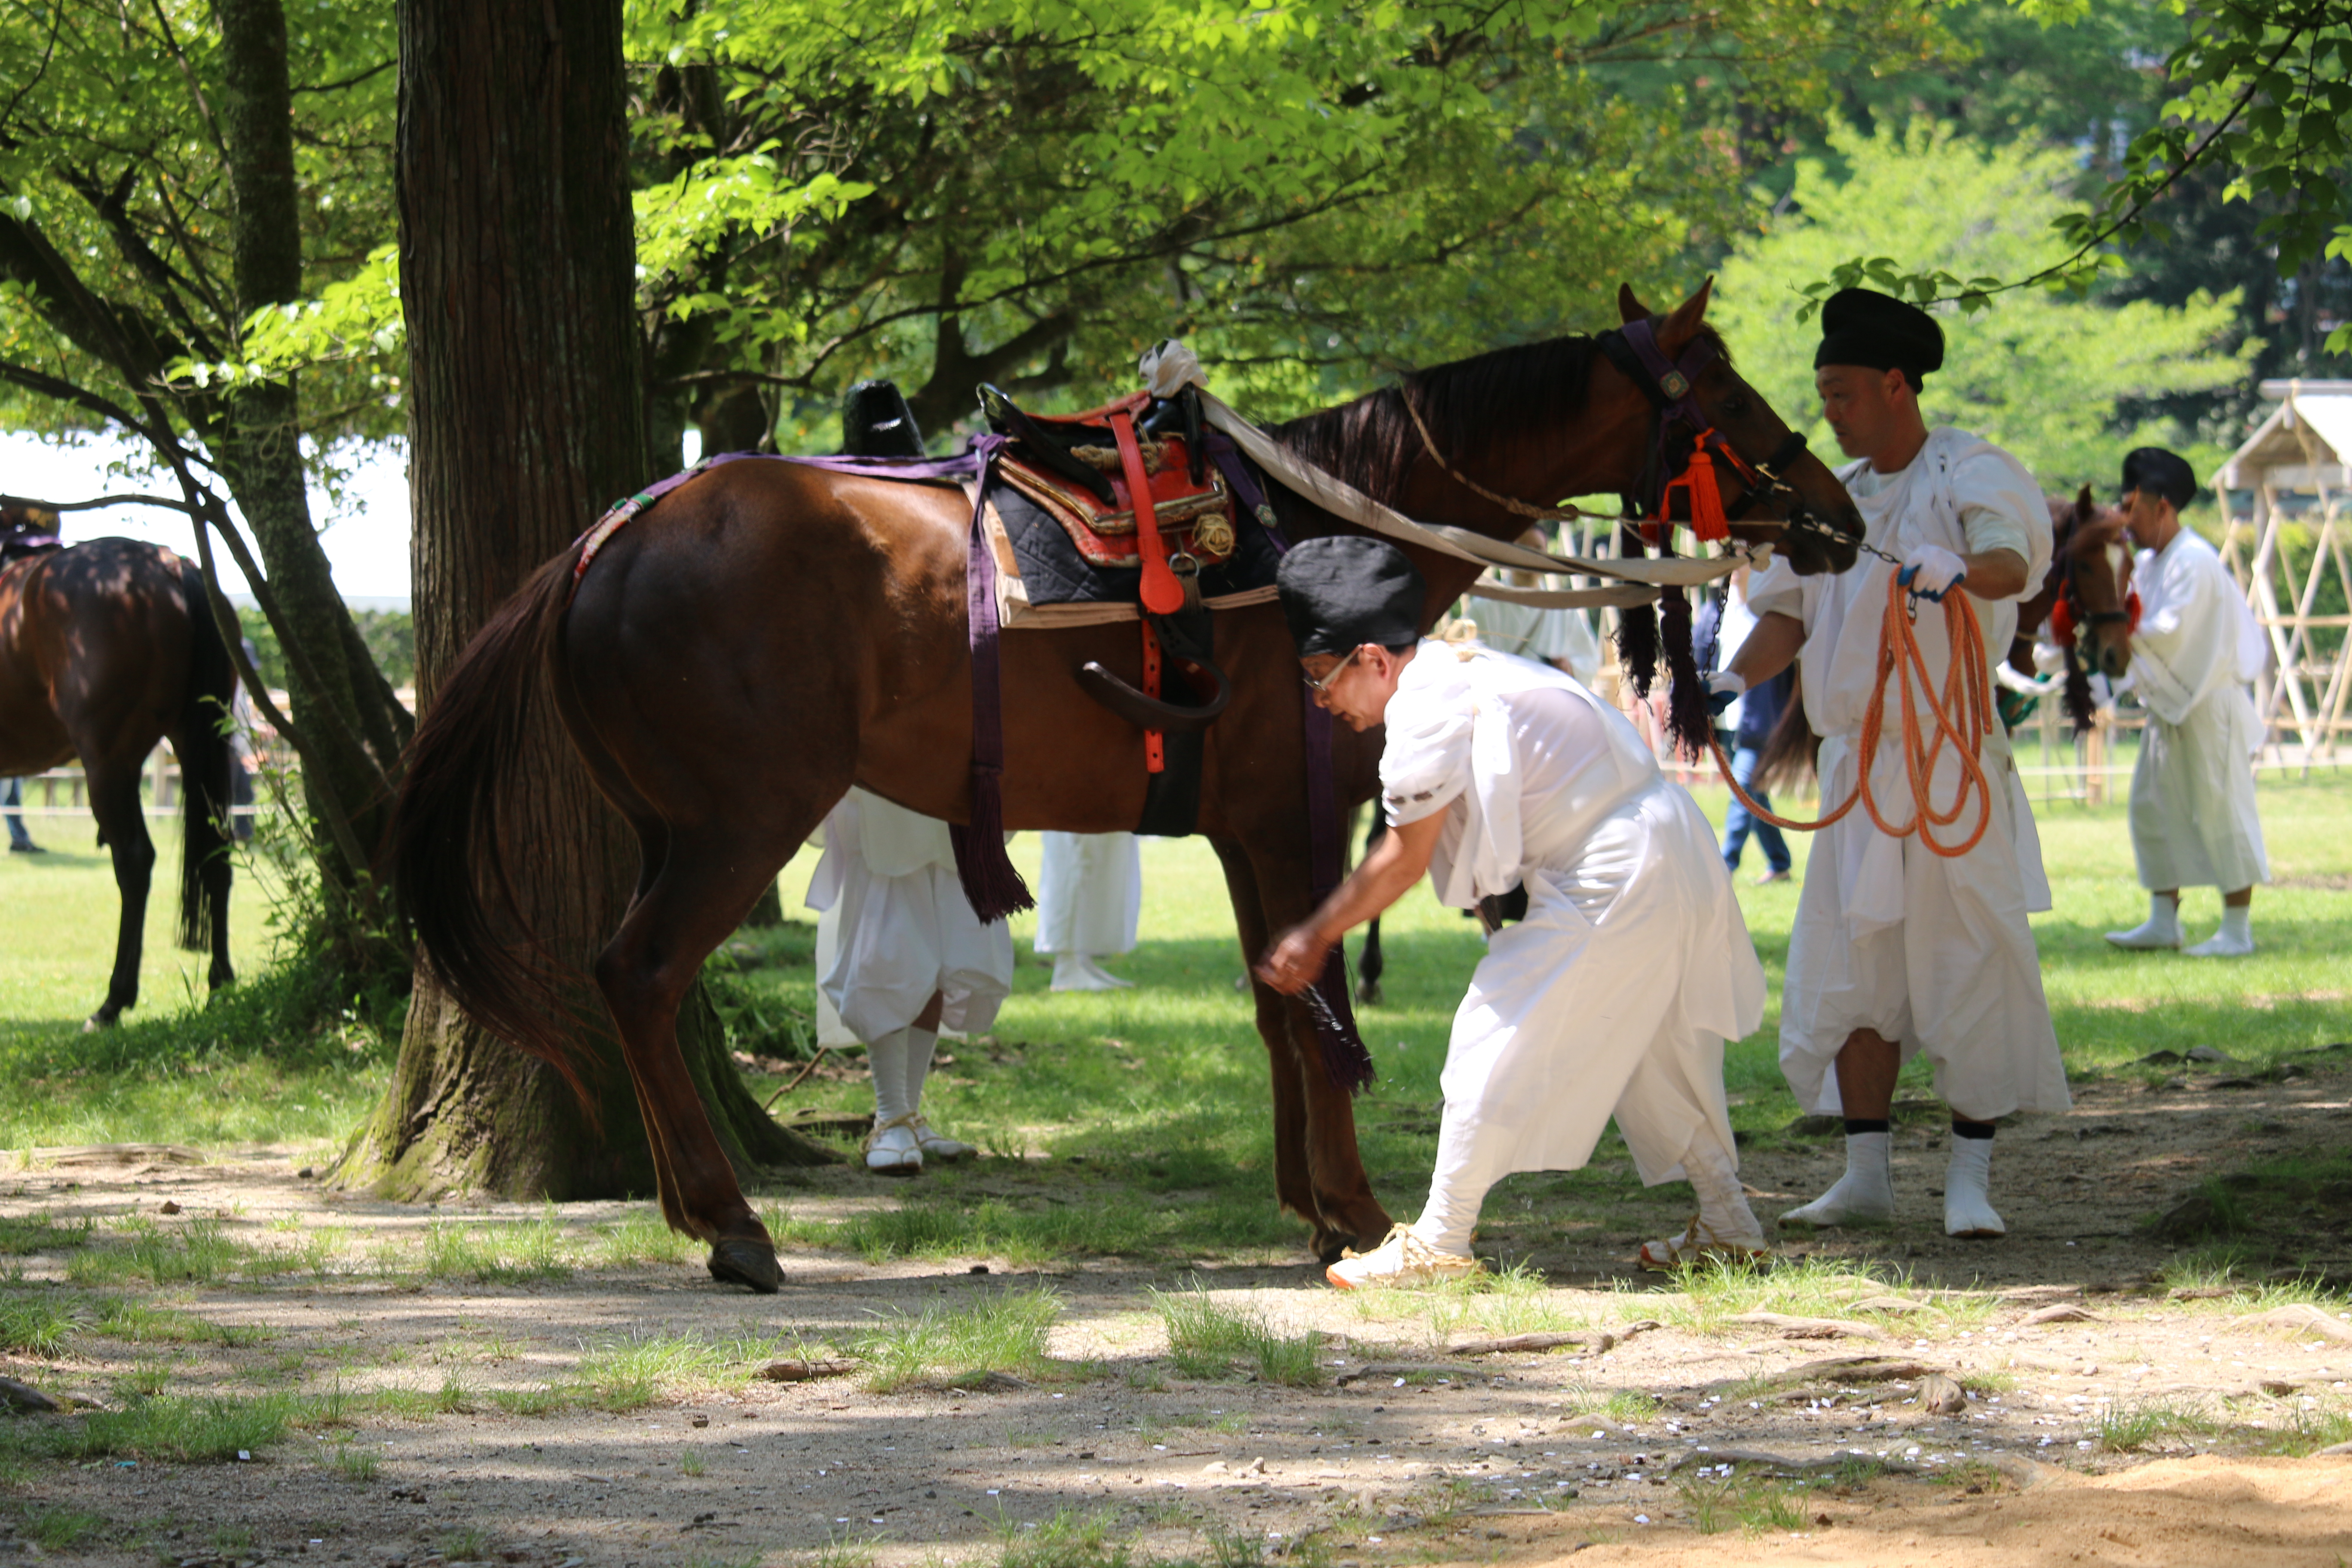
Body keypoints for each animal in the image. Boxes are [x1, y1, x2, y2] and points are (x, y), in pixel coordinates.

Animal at [0, 496, 239, 1025]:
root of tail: (171, 566)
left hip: (108, 763)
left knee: (134, 861)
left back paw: (114, 1000)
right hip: (196, 745)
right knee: (216, 853)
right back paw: (221, 981)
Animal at [381, 279, 1853, 1288]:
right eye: (1725, 395)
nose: (1833, 516)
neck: (1319, 528)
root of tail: (604, 538)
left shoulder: (1251, 833)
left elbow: (1279, 1001)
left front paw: (1310, 1200)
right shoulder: (1298, 816)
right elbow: (1315, 1002)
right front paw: (1357, 1210)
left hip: (671, 825)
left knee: (630, 979)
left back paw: (702, 1207)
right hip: (741, 824)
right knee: (637, 974)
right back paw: (728, 1222)